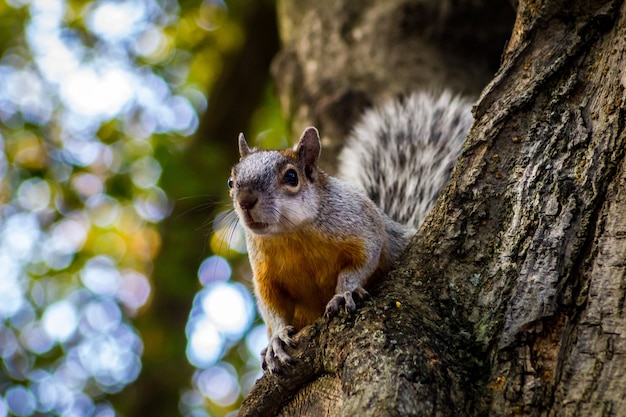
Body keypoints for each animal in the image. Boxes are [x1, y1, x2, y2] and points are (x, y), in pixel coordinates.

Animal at [227, 90, 470, 370]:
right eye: (231, 181)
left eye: (291, 177)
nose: (245, 201)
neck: (291, 234)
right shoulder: (265, 273)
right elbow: (272, 306)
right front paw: (276, 339)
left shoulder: (363, 226)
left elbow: (363, 261)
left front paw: (345, 292)